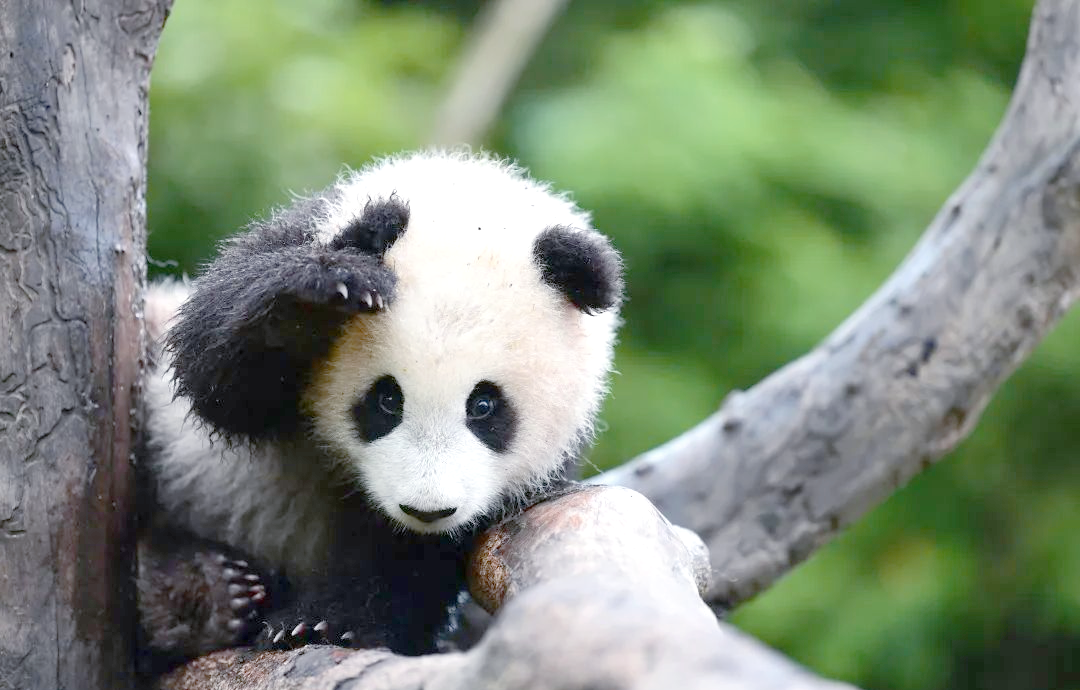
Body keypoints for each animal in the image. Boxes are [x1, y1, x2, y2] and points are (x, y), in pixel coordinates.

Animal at [136, 150, 624, 669]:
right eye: (387, 399)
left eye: (484, 405)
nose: (426, 509)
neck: (460, 196)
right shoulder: (305, 231)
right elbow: (212, 368)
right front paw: (327, 293)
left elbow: (416, 560)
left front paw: (328, 620)